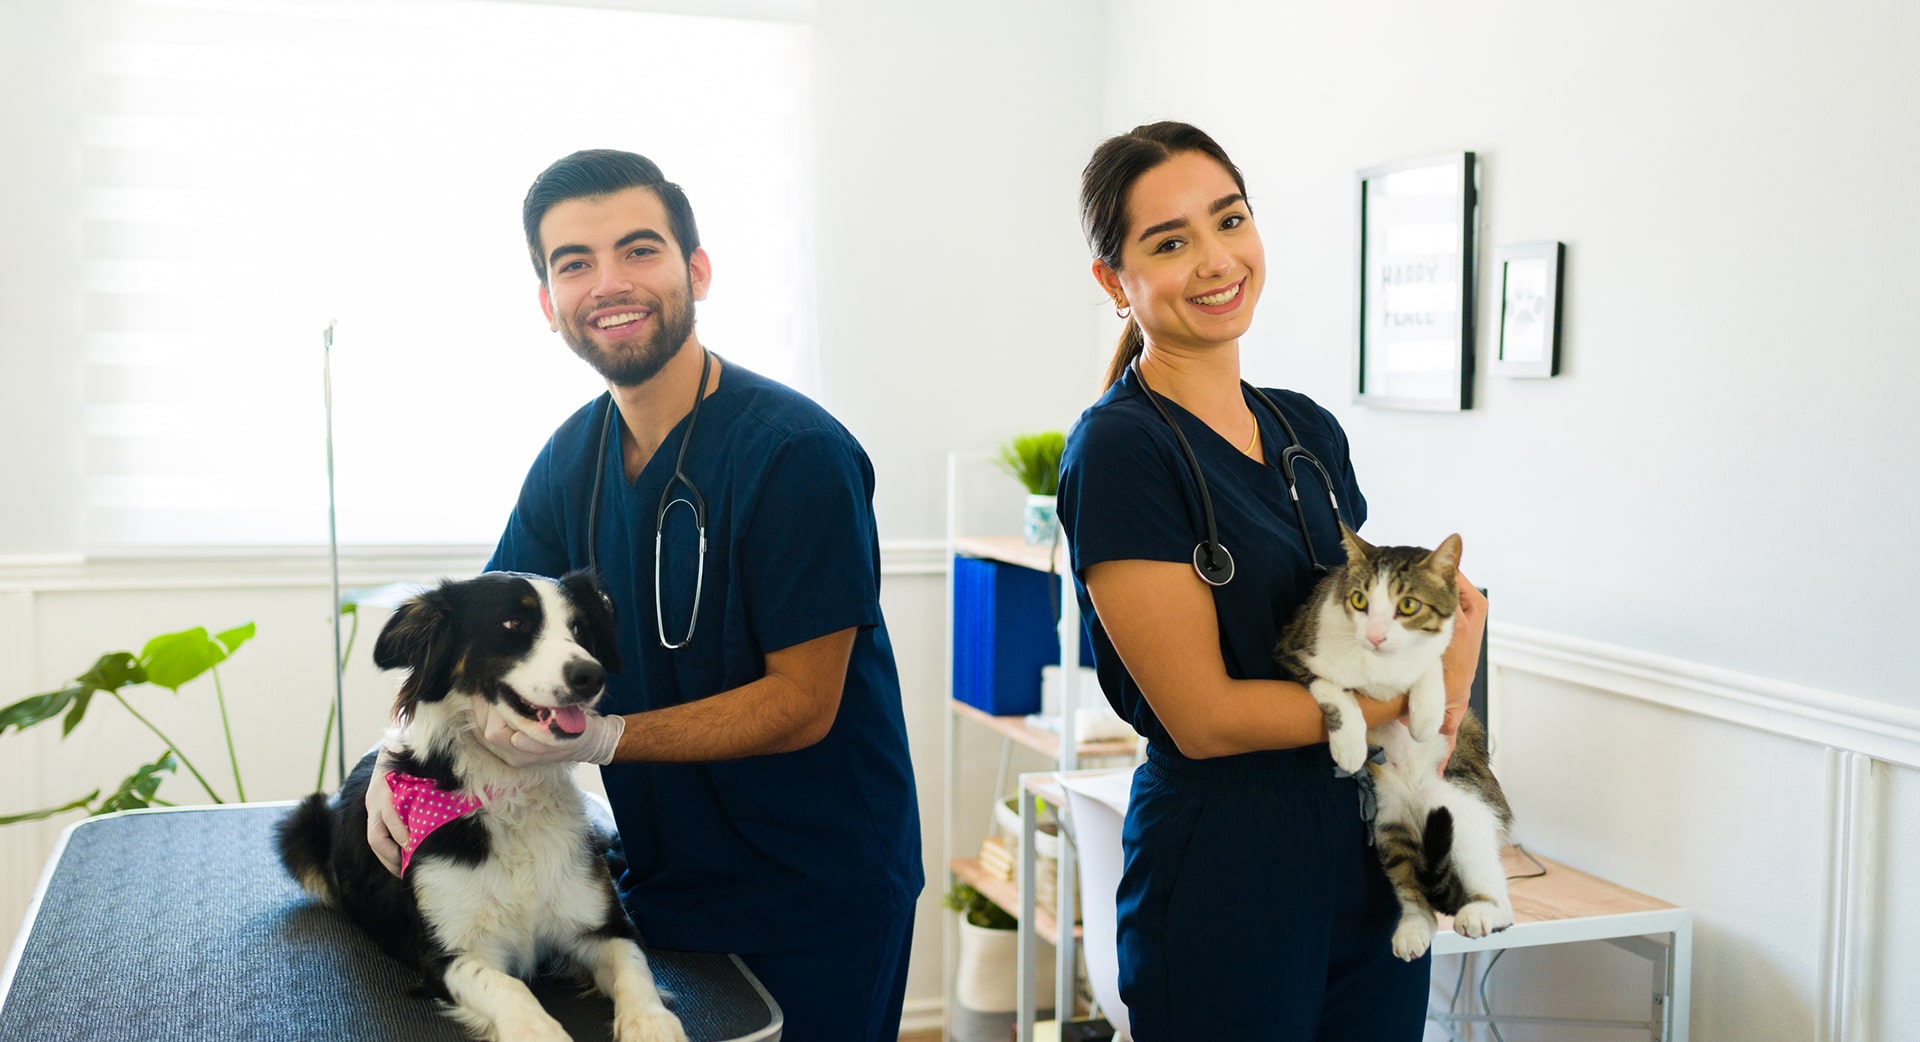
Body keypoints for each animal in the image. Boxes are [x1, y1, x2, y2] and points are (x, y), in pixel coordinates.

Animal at [278, 571, 683, 1042]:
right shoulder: (447, 953)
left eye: (580, 628)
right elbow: (511, 990)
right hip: (303, 825)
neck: (508, 793)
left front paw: (651, 1024)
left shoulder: (606, 925)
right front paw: (540, 1032)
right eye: (513, 624)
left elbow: (636, 970)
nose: (590, 675)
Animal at [1274, 529, 1512, 963]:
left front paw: (1426, 712)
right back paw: (1414, 927)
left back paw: (1482, 910)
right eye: (1359, 601)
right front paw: (1350, 741)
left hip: (1461, 805)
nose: (1375, 635)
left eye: (1408, 605)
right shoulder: (1291, 650)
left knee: (1496, 892)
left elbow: (1434, 663)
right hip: (1388, 819)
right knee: (1414, 886)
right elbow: (1332, 687)